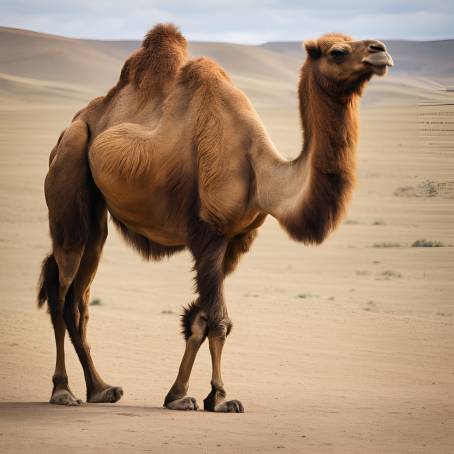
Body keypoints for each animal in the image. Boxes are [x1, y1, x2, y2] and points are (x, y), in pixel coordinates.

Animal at [37, 23, 392, 412]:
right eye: (337, 52)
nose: (381, 50)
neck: (260, 171)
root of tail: (74, 122)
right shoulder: (208, 234)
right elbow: (219, 322)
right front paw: (220, 398)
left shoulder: (236, 241)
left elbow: (200, 319)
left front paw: (180, 394)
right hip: (70, 167)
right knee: (60, 292)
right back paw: (63, 391)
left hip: (96, 215)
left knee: (80, 299)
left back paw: (101, 388)